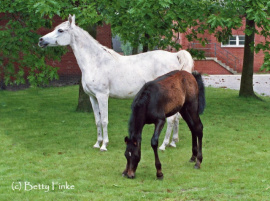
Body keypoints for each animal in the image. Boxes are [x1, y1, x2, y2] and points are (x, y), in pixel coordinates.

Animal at [38, 14, 194, 151]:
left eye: (60, 30)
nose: (41, 40)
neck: (96, 61)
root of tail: (175, 56)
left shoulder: (102, 96)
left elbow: (104, 120)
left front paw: (104, 145)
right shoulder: (92, 97)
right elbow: (97, 120)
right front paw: (97, 143)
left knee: (171, 119)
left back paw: (163, 145)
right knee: (176, 118)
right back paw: (172, 142)